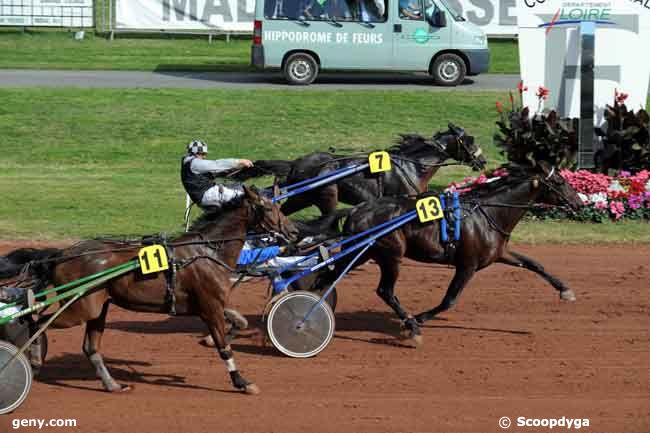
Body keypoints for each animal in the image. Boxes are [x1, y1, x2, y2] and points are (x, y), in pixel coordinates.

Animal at [0, 186, 296, 394]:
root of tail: (63, 254)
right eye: (269, 208)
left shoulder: (209, 304)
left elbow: (239, 321)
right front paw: (241, 381)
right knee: (36, 321)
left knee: (90, 347)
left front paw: (215, 339)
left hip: (98, 307)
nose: (293, 231)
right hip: (80, 307)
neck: (208, 251)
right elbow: (225, 348)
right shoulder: (210, 306)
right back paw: (34, 360)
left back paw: (112, 385)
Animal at [230, 123, 484, 214]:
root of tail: (296, 164)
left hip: (302, 198)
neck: (413, 166)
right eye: (469, 140)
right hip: (326, 196)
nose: (482, 161)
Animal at [310, 160, 584, 342]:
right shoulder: (467, 265)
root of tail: (357, 210)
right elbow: (449, 300)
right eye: (560, 181)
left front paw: (565, 290)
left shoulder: (499, 254)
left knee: (328, 276)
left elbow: (534, 264)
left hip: (363, 253)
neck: (489, 213)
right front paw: (418, 320)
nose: (579, 203)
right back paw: (412, 326)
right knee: (384, 291)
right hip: (390, 256)